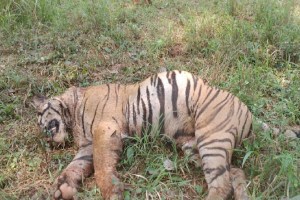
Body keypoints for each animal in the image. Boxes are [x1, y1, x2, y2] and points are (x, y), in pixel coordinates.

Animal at [32, 69, 298, 199]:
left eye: (42, 119)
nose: (47, 137)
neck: (71, 112)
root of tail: (249, 112)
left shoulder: (104, 130)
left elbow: (100, 165)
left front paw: (111, 191)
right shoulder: (86, 145)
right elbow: (75, 166)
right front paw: (64, 188)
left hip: (212, 138)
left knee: (222, 185)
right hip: (194, 145)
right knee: (235, 173)